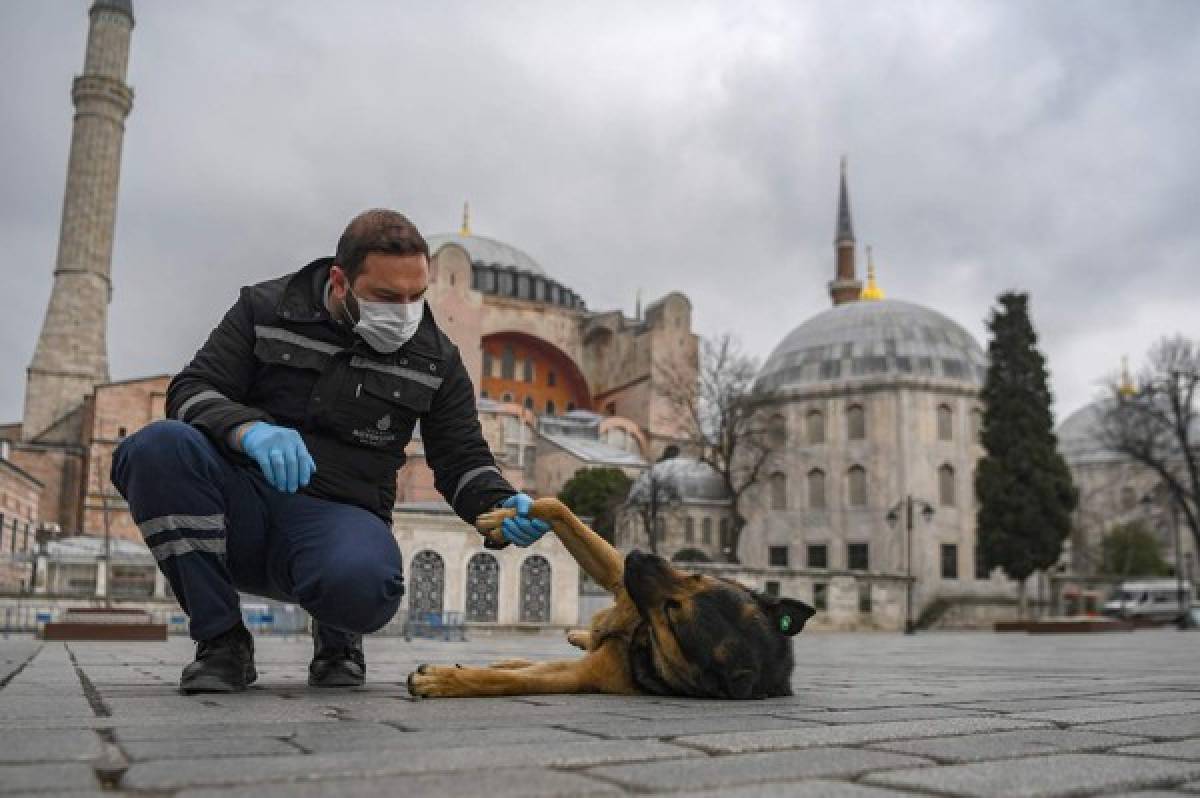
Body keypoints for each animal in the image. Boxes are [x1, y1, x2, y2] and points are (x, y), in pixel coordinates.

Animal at [405, 499, 816, 696]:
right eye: (696, 576)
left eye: (674, 615)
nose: (639, 555)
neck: (641, 635)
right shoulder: (619, 578)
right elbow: (556, 507)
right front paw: (505, 517)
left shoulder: (580, 675)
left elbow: (507, 681)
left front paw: (443, 681)